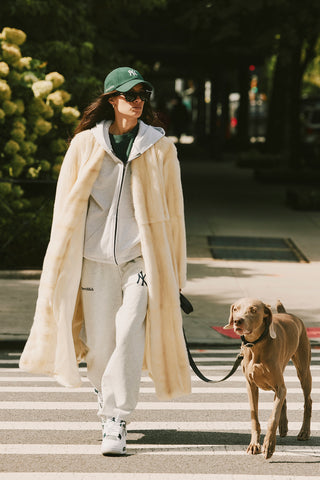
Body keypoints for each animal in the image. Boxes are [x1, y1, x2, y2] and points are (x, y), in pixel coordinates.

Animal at [224, 298, 312, 460]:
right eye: (236, 309)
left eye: (253, 310)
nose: (238, 321)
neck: (256, 345)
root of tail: (288, 314)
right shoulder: (251, 386)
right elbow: (255, 417)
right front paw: (254, 445)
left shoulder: (277, 385)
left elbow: (272, 417)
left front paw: (269, 445)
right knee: (284, 396)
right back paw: (283, 427)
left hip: (303, 369)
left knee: (307, 400)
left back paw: (304, 431)